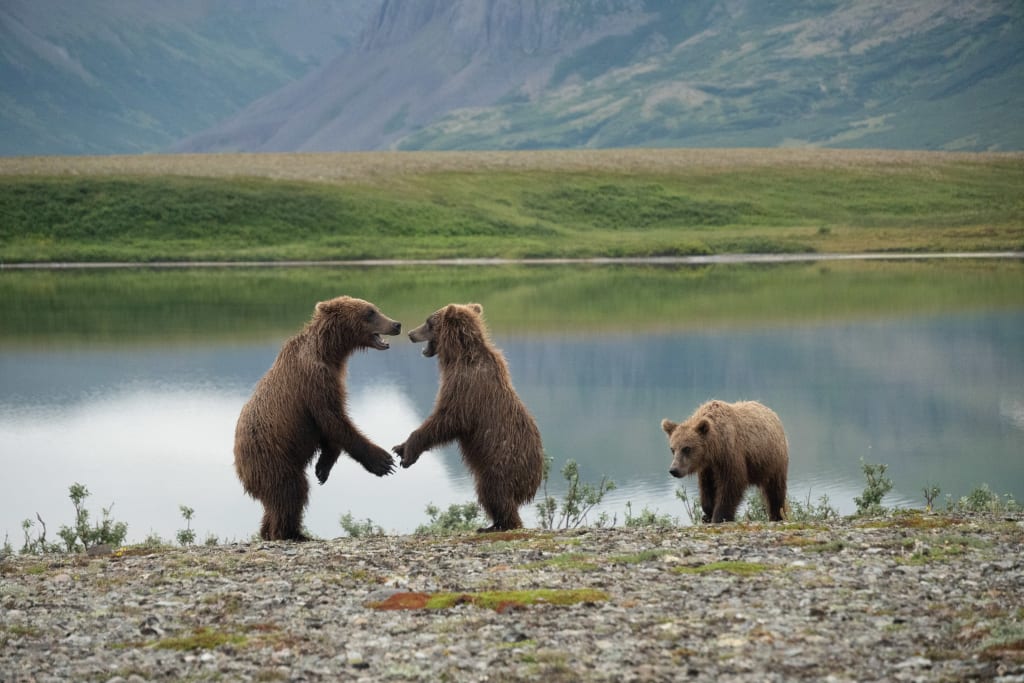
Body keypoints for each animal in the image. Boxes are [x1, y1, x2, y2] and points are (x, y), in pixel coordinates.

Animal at [233, 296, 401, 541]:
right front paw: (382, 461)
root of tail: (240, 466)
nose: (396, 324)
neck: (330, 352)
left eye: (375, 308)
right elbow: (334, 420)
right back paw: (292, 533)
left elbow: (331, 428)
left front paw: (323, 468)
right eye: (370, 312)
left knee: (274, 502)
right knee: (291, 491)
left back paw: (268, 531)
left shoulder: (334, 378)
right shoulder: (315, 381)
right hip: (273, 457)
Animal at [392, 303, 544, 532]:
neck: (457, 357)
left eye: (429, 322)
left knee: (493, 491)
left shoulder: (465, 387)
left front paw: (408, 451)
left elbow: (446, 420)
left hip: (501, 463)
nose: (410, 333)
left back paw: (498, 525)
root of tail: (534, 481)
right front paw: (399, 448)